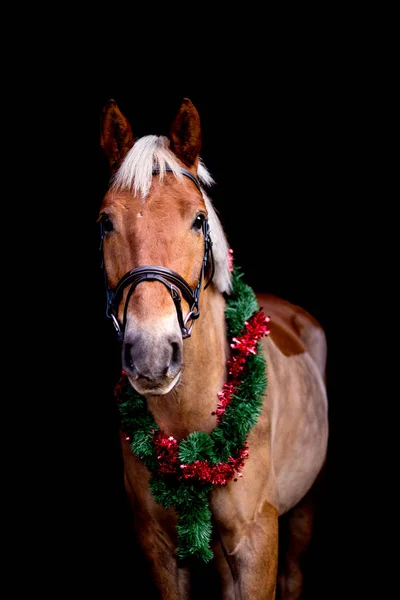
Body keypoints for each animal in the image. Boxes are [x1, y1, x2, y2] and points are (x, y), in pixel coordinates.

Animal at [97, 96, 328, 596]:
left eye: (198, 219)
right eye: (105, 222)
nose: (151, 355)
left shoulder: (257, 540)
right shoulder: (158, 547)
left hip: (302, 508)